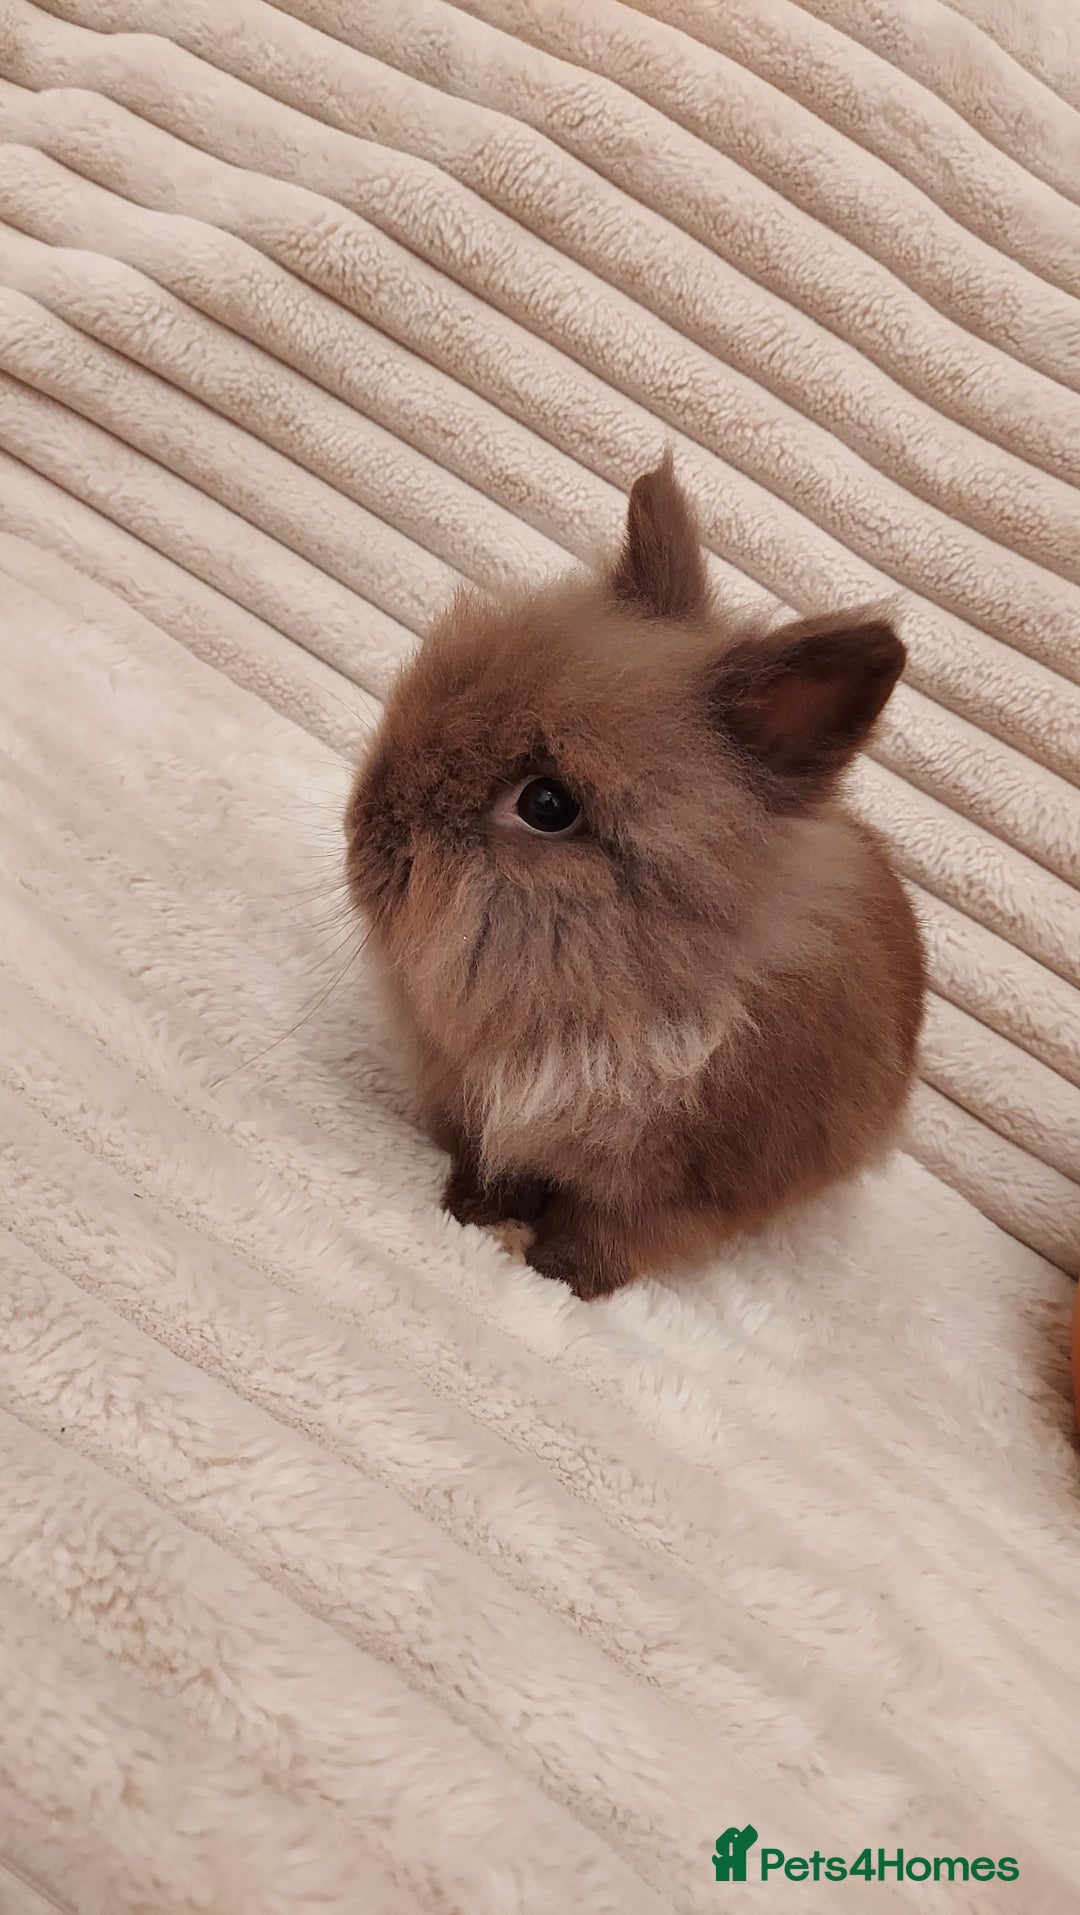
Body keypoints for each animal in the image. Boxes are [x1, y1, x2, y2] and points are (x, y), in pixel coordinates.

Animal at [345, 454, 925, 1298]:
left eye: (547, 804)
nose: (364, 831)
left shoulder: (678, 1194)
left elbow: (606, 1238)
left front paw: (557, 1280)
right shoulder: (478, 1110)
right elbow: (491, 1172)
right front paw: (467, 1215)